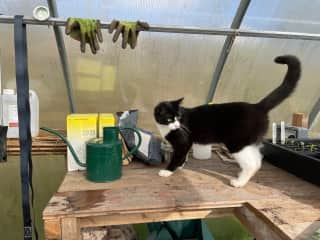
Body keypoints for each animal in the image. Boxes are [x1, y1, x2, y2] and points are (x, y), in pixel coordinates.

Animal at [154, 55, 302, 188]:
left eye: (178, 117)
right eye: (170, 118)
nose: (178, 125)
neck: (165, 127)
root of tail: (257, 106)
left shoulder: (183, 141)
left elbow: (178, 155)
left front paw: (168, 171)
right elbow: (183, 156)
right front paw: (180, 166)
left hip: (237, 142)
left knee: (251, 163)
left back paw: (239, 183)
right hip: (249, 142)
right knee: (258, 160)